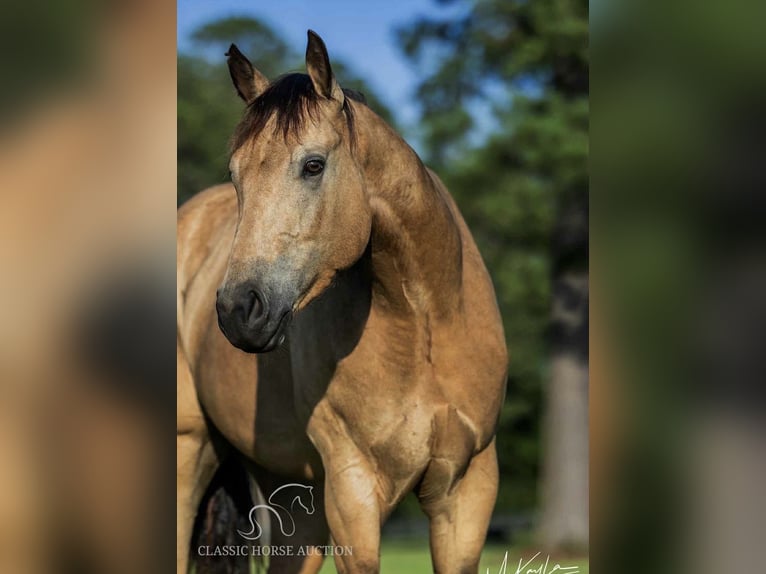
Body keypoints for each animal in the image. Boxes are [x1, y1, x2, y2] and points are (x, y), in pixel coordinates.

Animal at [177, 30, 507, 573]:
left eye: (313, 165)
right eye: (235, 174)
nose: (237, 311)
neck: (425, 328)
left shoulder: (467, 493)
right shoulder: (354, 491)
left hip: (297, 498)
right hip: (192, 454)